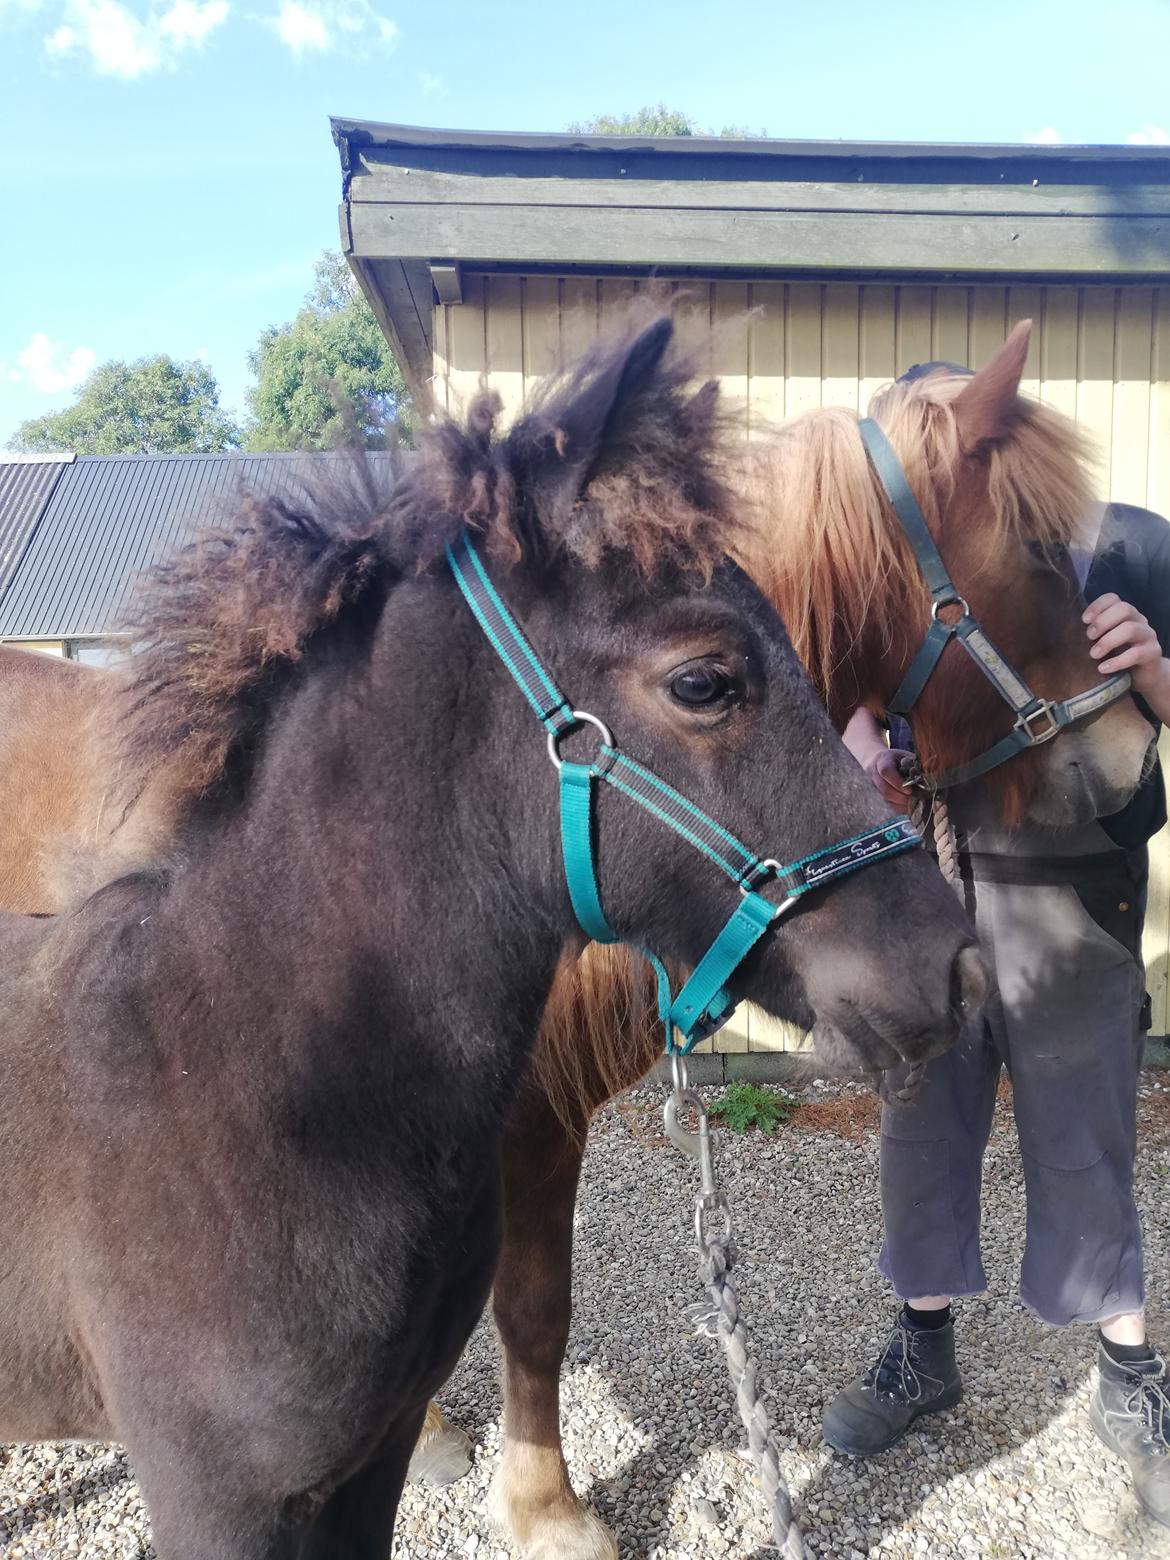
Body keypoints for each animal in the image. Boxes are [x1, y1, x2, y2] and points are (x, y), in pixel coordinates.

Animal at [0, 319, 1154, 1560]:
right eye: (1040, 549)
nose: (1127, 758)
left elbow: (537, 1310)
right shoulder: (525, 1121)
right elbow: (531, 1309)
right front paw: (543, 1504)